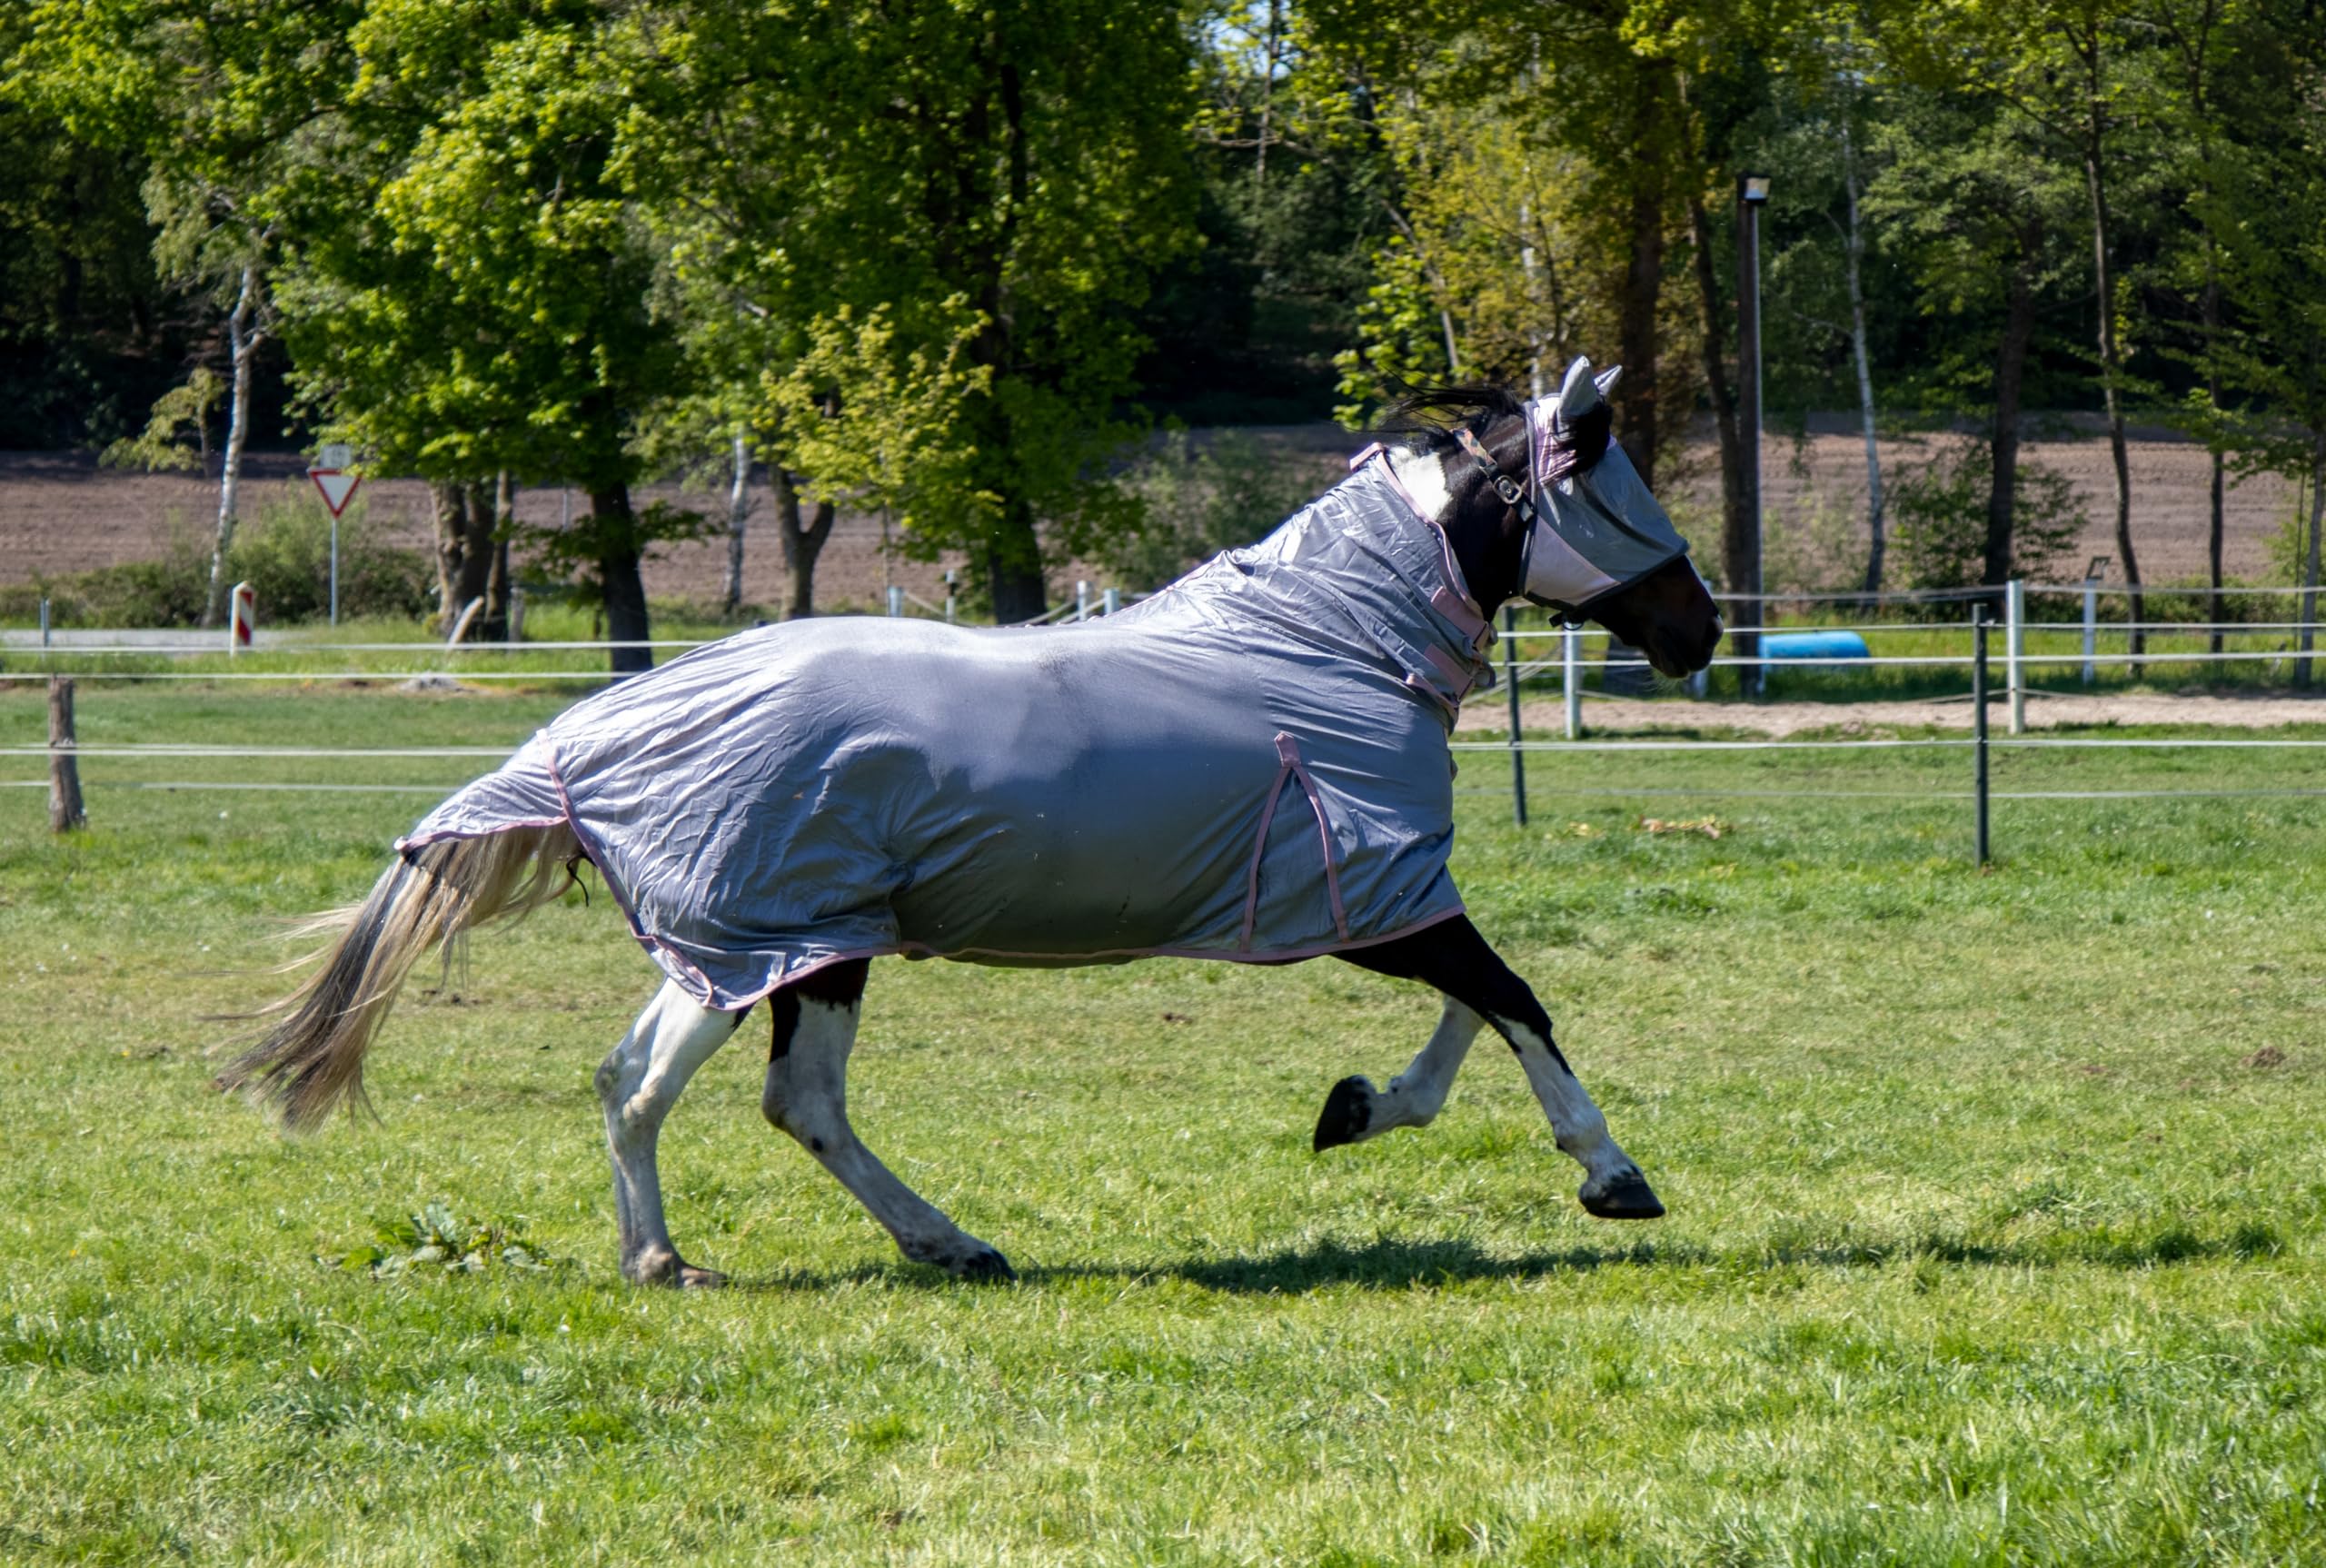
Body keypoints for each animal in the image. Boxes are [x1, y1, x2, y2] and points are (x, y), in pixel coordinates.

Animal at [223, 360, 1722, 1286]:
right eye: (1610, 483)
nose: (1700, 630)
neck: (1325, 647)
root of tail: (591, 733)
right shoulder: (1374, 894)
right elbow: (1516, 997)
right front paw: (1611, 1173)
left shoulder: (1383, 896)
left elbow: (1480, 1005)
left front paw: (1357, 1107)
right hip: (775, 941)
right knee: (694, 1091)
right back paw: (700, 1258)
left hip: (767, 946)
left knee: (683, 1086)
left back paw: (916, 1245)